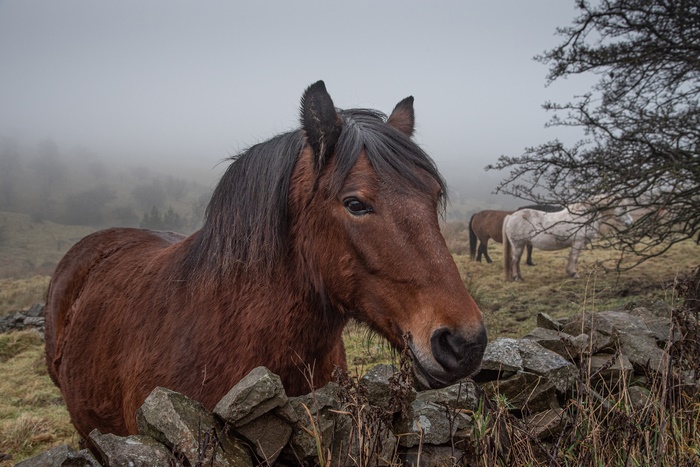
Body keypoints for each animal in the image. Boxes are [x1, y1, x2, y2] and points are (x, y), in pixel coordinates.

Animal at [502, 199, 634, 281]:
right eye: (623, 207)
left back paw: (519, 277)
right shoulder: (578, 242)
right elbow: (574, 258)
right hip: (518, 245)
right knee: (515, 261)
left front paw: (570, 273)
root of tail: (511, 216)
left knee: (517, 262)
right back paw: (517, 278)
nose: (630, 223)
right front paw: (574, 273)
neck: (584, 215)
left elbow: (572, 257)